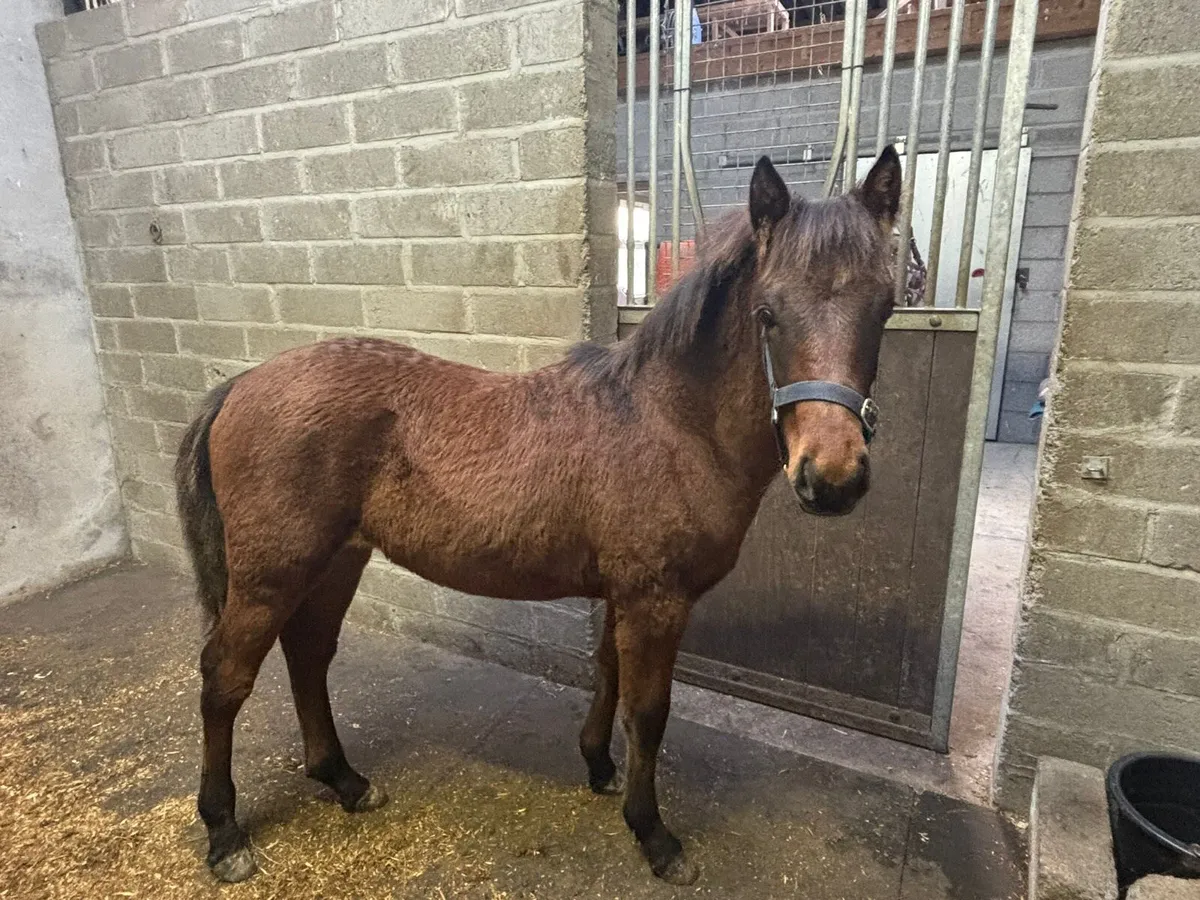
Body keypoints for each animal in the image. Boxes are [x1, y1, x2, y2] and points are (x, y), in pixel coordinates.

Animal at [174, 148, 902, 886]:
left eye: (884, 306)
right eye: (768, 312)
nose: (833, 478)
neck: (670, 423)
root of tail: (241, 385)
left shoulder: (624, 594)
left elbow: (607, 673)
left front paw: (599, 767)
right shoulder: (657, 600)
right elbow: (648, 712)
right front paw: (654, 835)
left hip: (335, 561)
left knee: (309, 655)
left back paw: (346, 782)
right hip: (272, 575)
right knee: (225, 678)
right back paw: (225, 833)